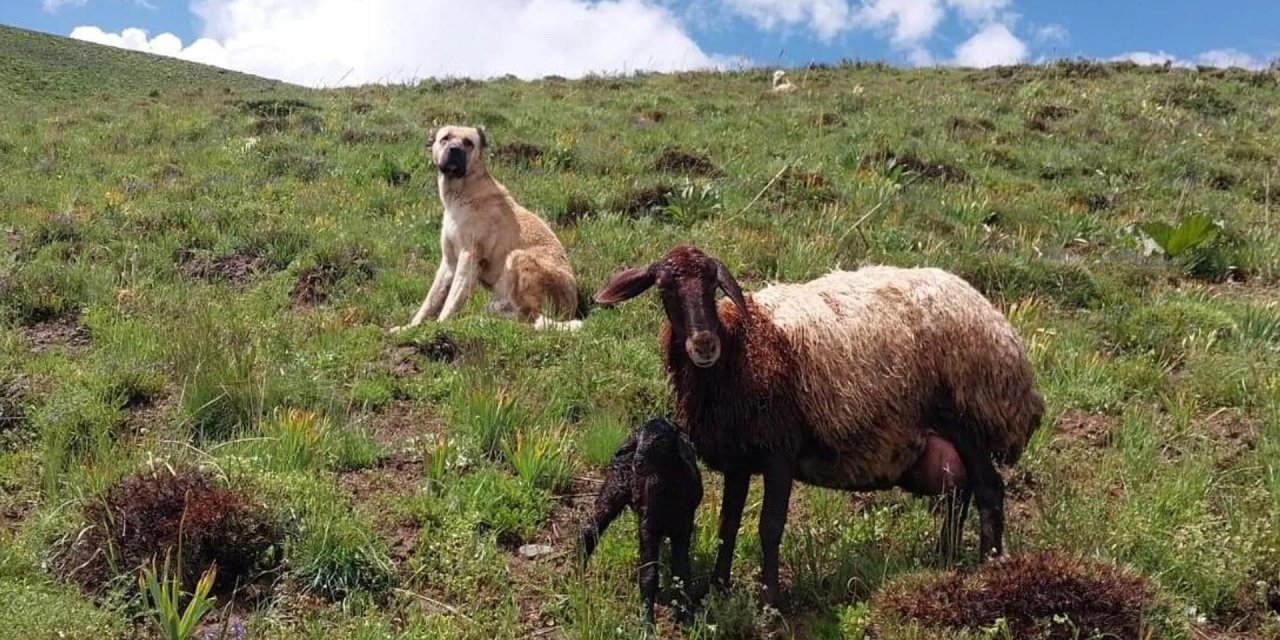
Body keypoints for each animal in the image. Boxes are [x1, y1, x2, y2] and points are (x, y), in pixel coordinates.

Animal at [391, 126, 583, 335]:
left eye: (468, 142)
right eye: (445, 138)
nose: (454, 149)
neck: (462, 194)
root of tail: (572, 307)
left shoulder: (469, 258)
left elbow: (450, 301)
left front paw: (438, 326)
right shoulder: (449, 262)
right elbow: (430, 301)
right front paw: (410, 328)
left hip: (517, 257)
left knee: (531, 318)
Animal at [578, 417, 701, 627]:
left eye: (661, 440)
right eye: (640, 439)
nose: (638, 462)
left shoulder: (683, 528)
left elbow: (682, 573)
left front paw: (686, 618)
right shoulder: (648, 527)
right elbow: (648, 575)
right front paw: (648, 624)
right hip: (613, 489)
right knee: (591, 527)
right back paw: (577, 572)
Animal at [593, 245, 1044, 609]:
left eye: (712, 287)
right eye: (665, 290)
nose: (704, 344)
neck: (741, 346)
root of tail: (1001, 329)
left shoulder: (779, 451)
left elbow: (769, 527)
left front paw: (770, 601)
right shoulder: (739, 458)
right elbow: (727, 524)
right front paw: (718, 588)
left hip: (968, 417)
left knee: (988, 489)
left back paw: (988, 569)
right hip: (942, 437)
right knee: (957, 492)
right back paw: (945, 560)